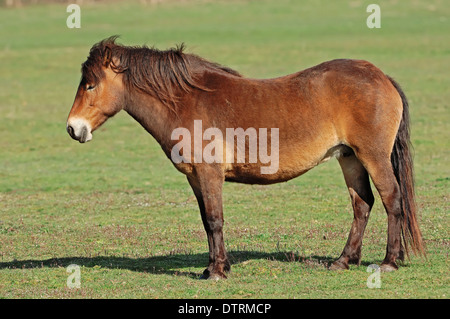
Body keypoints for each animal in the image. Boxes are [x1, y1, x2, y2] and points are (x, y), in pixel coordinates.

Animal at [65, 35, 424, 280]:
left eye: (91, 85)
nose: (72, 128)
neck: (185, 100)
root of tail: (380, 76)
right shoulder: (195, 177)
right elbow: (207, 222)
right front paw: (214, 266)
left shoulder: (209, 174)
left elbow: (214, 220)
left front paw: (216, 272)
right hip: (349, 158)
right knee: (362, 204)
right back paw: (343, 260)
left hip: (372, 157)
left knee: (392, 200)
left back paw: (389, 261)